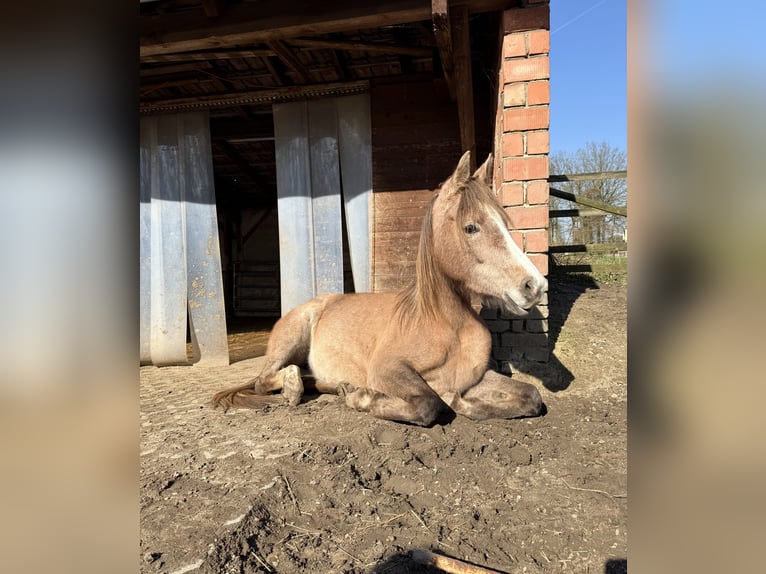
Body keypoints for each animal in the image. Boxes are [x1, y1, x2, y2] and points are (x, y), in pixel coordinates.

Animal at [213, 151, 547, 426]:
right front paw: (362, 398)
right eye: (471, 227)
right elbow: (428, 404)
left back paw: (338, 385)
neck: (445, 324)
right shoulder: (389, 370)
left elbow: (531, 396)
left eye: (503, 222)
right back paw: (296, 389)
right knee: (266, 378)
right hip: (290, 340)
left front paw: (461, 400)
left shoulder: (477, 375)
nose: (534, 285)